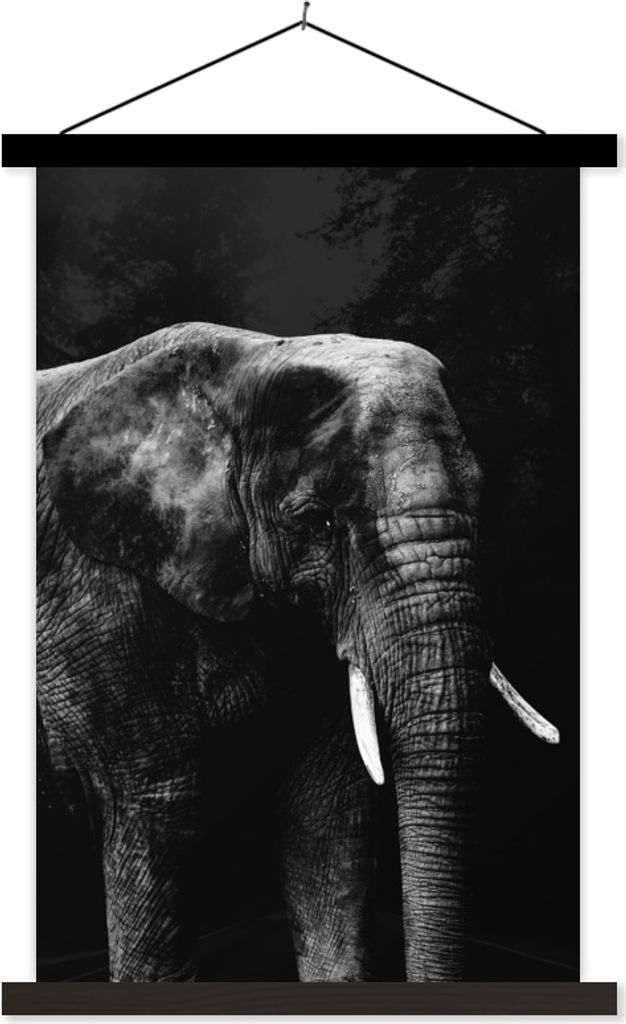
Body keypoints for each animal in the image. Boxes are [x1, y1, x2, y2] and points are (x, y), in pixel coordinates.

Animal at [36, 321, 559, 982]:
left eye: (480, 500)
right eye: (317, 521)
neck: (245, 364)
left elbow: (327, 824)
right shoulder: (91, 599)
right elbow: (152, 809)